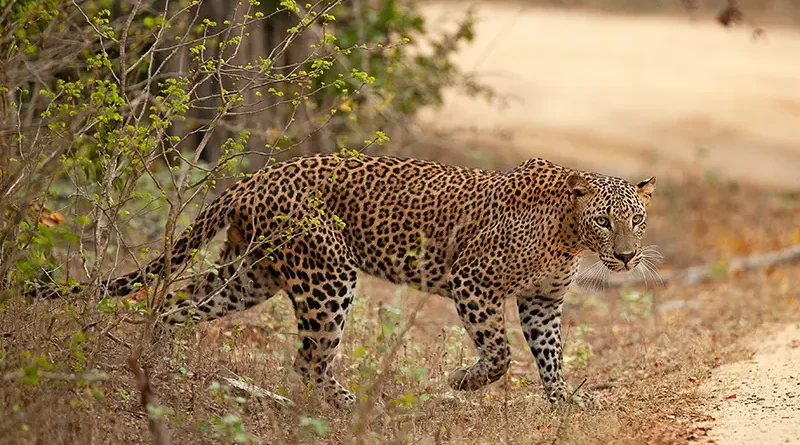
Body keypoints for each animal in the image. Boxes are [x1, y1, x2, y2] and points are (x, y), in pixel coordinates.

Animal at [27, 153, 656, 408]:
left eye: (637, 219)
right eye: (605, 220)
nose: (627, 258)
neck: (569, 235)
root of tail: (255, 176)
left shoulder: (542, 303)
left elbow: (551, 355)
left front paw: (563, 402)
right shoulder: (472, 281)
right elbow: (500, 354)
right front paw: (464, 382)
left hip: (248, 274)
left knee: (174, 305)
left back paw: (152, 363)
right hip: (328, 276)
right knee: (308, 360)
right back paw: (347, 403)